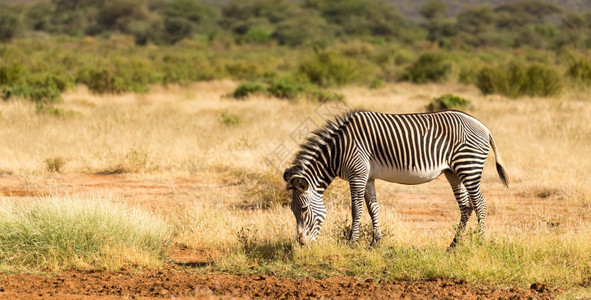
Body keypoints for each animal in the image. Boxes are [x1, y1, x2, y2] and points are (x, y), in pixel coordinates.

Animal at [284, 109, 508, 248]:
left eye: (303, 209)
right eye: (292, 210)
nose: (301, 243)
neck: (338, 150)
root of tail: (483, 126)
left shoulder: (357, 174)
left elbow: (356, 210)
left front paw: (352, 243)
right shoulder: (368, 177)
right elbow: (373, 208)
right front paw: (375, 242)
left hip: (468, 167)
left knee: (479, 204)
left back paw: (480, 242)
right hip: (453, 172)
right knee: (466, 206)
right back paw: (453, 245)